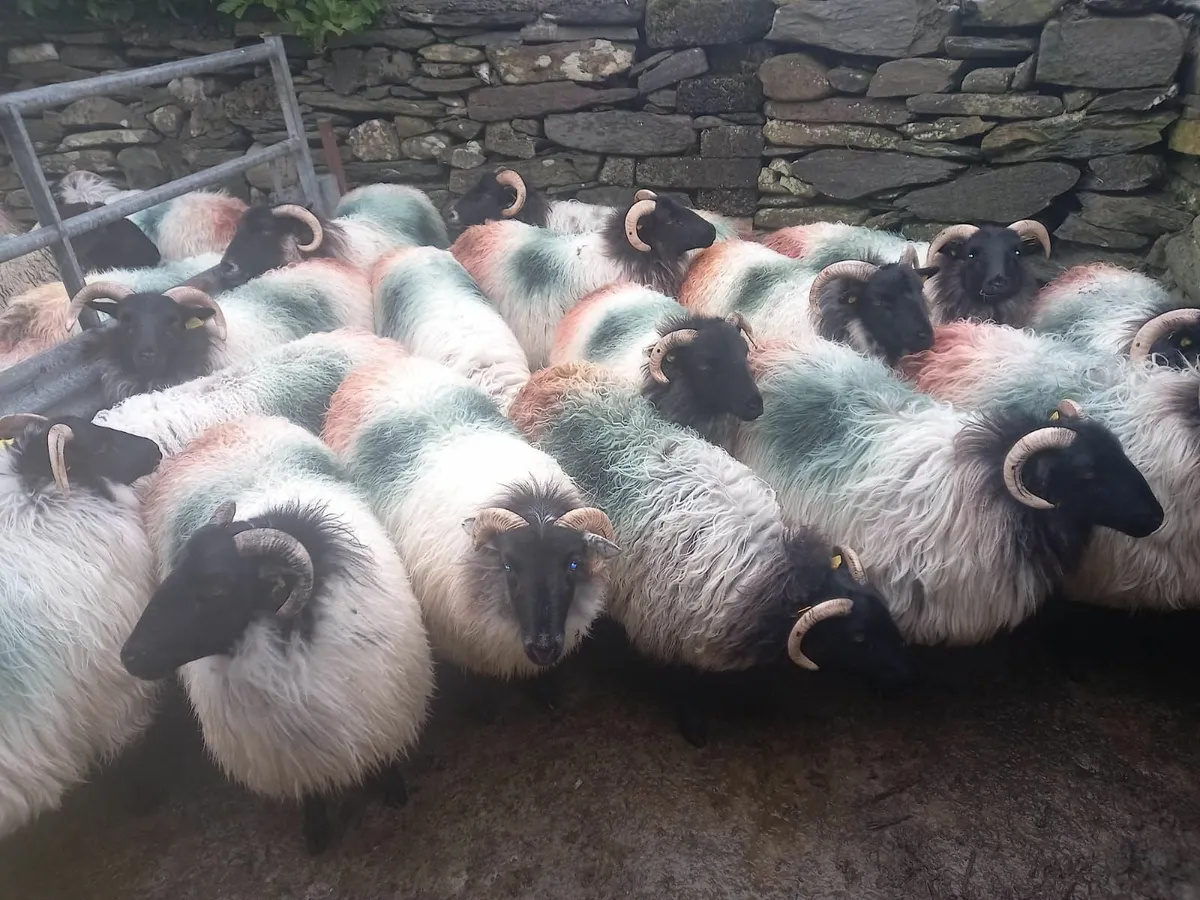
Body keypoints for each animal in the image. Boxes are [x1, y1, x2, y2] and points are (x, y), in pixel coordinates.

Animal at [121, 415, 433, 855]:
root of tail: (223, 426)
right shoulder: (294, 757)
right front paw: (315, 833)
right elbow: (310, 794)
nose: (129, 656)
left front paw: (394, 791)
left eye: (215, 589)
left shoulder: (379, 716)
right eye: (175, 570)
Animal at [508, 362, 910, 742]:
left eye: (884, 612)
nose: (901, 676)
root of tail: (549, 375)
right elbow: (687, 684)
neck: (771, 577)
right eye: (857, 637)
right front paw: (694, 728)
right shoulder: (673, 628)